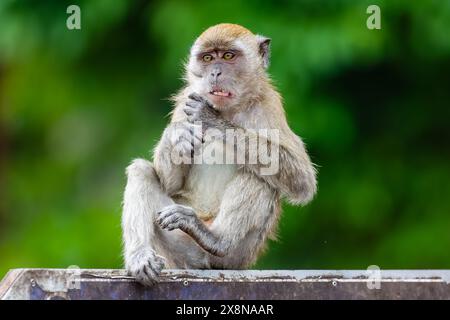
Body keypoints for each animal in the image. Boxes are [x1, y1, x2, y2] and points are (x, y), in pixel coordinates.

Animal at [120, 24, 316, 284]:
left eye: (228, 56)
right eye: (208, 58)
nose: (214, 73)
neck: (229, 109)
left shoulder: (269, 105)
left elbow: (302, 180)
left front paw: (210, 118)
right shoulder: (186, 99)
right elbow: (171, 182)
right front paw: (176, 135)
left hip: (239, 255)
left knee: (261, 175)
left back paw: (214, 238)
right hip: (178, 246)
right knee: (141, 170)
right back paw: (140, 257)